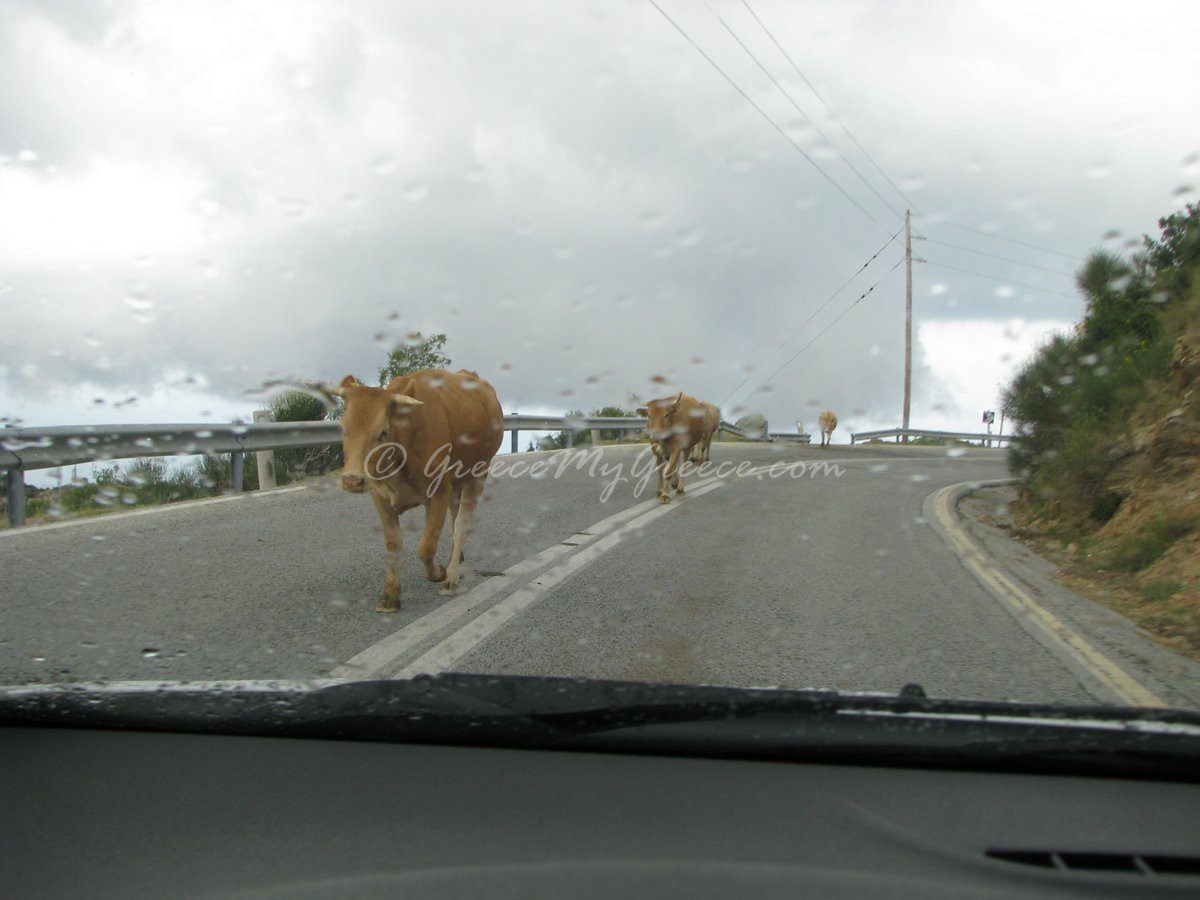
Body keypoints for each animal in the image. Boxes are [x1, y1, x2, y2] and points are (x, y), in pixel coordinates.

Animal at [328, 367, 501, 614]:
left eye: (382, 432)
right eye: (342, 428)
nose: (352, 480)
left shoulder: (438, 493)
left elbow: (426, 547)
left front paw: (438, 573)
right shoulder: (380, 497)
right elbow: (393, 543)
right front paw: (390, 595)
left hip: (478, 475)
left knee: (461, 525)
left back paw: (452, 576)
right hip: (456, 485)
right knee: (454, 517)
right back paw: (457, 560)